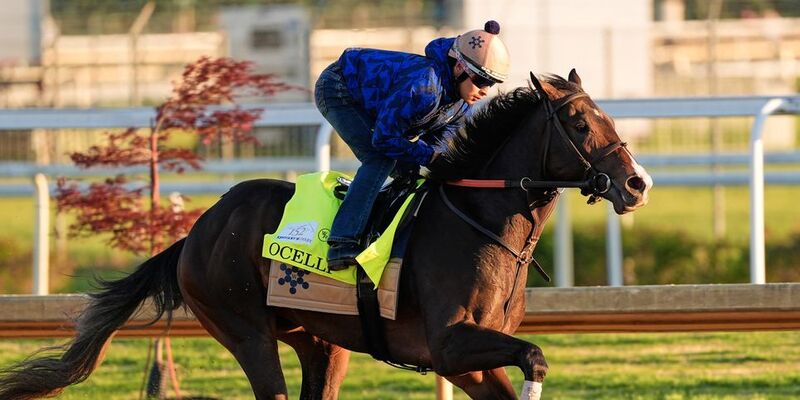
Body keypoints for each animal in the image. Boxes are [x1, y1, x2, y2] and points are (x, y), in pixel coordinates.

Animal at [0, 70, 651, 400]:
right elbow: (534, 357)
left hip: (321, 341)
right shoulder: (449, 346)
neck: (480, 222)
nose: (637, 183)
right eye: (578, 122)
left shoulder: (464, 357)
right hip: (245, 331)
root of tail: (195, 233)